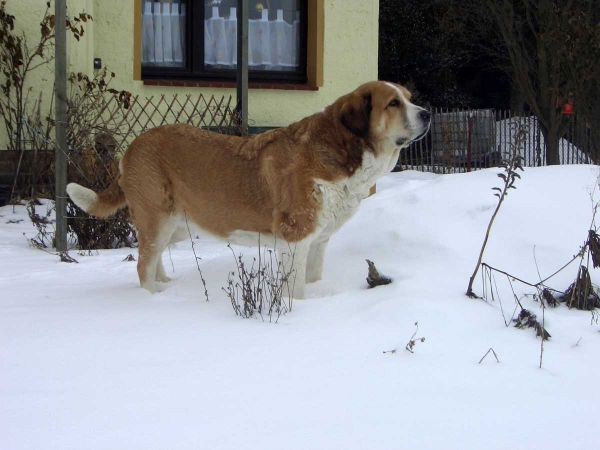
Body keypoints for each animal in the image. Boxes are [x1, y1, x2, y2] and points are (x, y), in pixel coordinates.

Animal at [67, 81, 432, 298]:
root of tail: (132, 147)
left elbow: (313, 278)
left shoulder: (318, 241)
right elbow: (295, 289)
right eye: (393, 104)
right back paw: (153, 299)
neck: (345, 152)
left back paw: (166, 287)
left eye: (409, 99)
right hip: (158, 218)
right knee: (143, 264)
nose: (427, 113)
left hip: (176, 225)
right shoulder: (295, 239)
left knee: (153, 258)